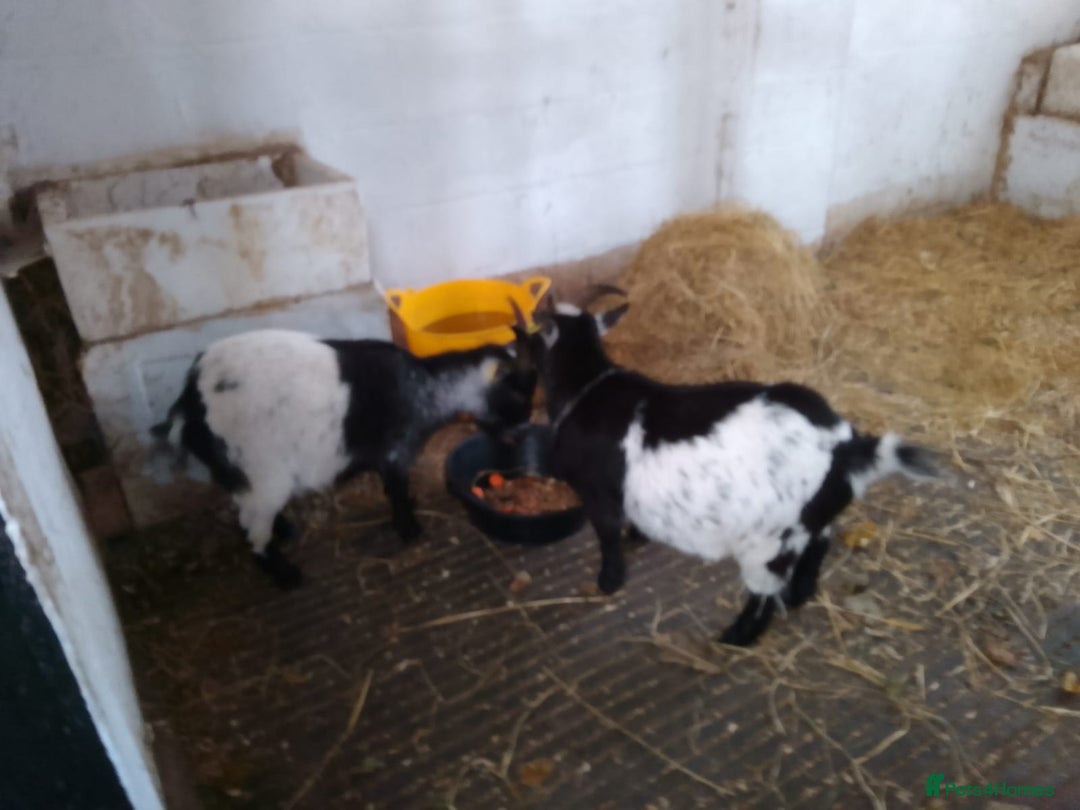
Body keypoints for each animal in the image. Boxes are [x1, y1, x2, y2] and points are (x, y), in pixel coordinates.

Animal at [152, 328, 536, 588]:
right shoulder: (395, 450)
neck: (427, 386)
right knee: (251, 527)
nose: (524, 433)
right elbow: (396, 490)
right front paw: (410, 529)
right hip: (263, 470)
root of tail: (189, 406)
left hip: (243, 473)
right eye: (519, 393)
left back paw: (283, 529)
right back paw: (285, 573)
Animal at [510, 289, 940, 646]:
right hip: (809, 519)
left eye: (531, 333)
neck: (585, 387)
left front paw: (608, 582)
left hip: (769, 541)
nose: (513, 345)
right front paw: (638, 536)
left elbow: (607, 538)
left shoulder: (596, 492)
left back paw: (739, 635)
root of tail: (846, 447)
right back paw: (799, 595)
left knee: (765, 590)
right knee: (820, 543)